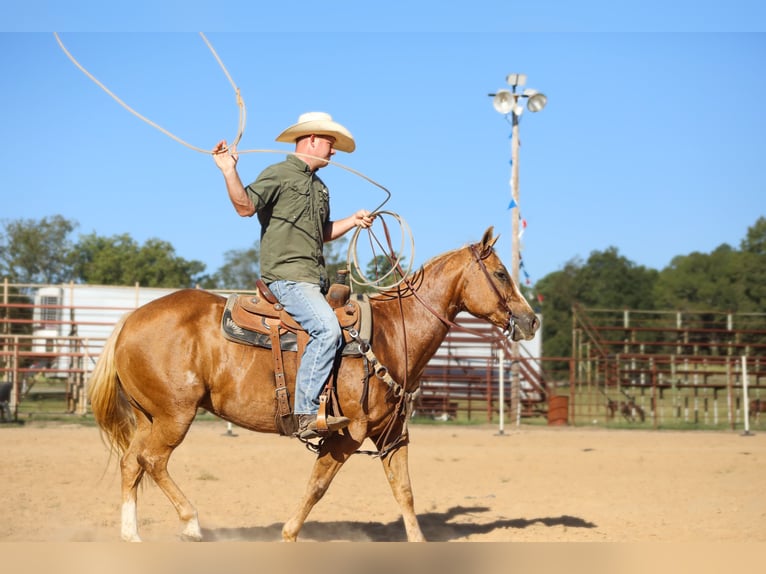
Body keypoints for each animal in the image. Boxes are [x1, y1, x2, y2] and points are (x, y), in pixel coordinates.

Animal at [88, 227, 540, 544]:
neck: (393, 334)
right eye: (501, 273)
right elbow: (318, 486)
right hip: (175, 415)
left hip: (150, 416)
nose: (531, 320)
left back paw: (131, 533)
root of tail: (129, 320)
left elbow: (405, 492)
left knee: (132, 462)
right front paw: (288, 533)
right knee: (153, 461)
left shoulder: (393, 434)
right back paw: (192, 523)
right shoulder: (346, 434)